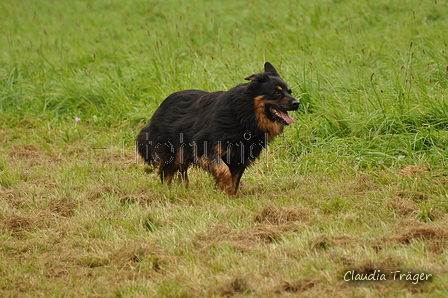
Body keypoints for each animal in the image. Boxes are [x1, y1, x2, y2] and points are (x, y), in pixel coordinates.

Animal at [136, 61, 298, 194]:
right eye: (277, 92)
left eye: (289, 91)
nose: (297, 103)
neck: (243, 115)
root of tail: (161, 106)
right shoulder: (203, 147)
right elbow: (223, 170)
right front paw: (224, 187)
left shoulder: (240, 157)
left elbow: (234, 179)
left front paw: (229, 196)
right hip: (173, 152)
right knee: (166, 173)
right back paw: (167, 191)